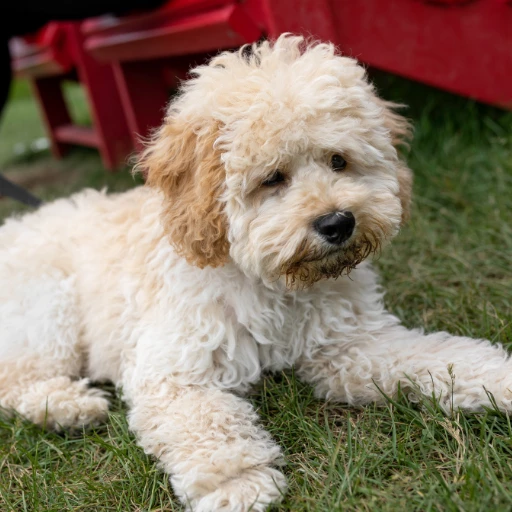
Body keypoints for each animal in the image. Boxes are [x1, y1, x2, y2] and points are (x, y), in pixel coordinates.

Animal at [1, 35, 512, 508]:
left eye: (339, 160)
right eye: (272, 179)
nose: (337, 223)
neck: (273, 283)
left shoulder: (351, 346)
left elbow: (434, 356)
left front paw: (498, 378)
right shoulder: (174, 368)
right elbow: (205, 421)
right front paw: (238, 482)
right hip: (46, 309)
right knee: (17, 378)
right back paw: (70, 407)